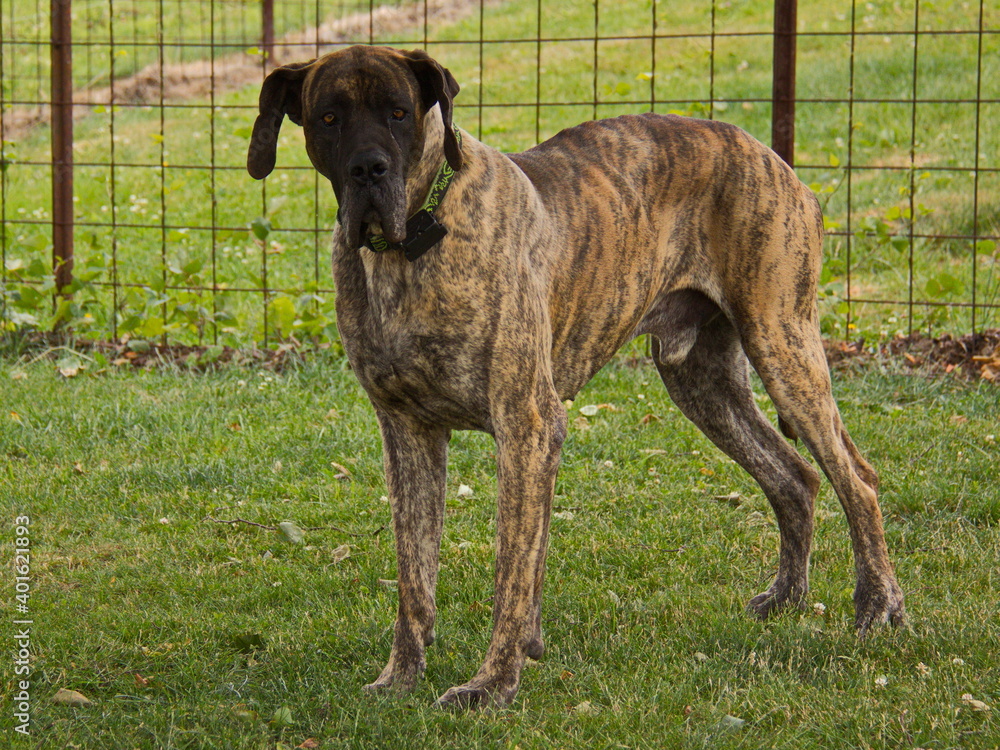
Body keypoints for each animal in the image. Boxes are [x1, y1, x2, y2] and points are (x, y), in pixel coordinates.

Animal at [248, 45, 908, 712]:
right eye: (329, 118)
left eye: (399, 112)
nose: (369, 170)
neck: (412, 244)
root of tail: (775, 159)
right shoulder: (408, 433)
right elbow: (416, 577)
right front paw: (401, 678)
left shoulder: (527, 425)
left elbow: (511, 570)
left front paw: (493, 682)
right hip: (703, 383)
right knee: (794, 476)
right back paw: (786, 598)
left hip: (782, 344)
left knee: (858, 478)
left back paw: (878, 605)